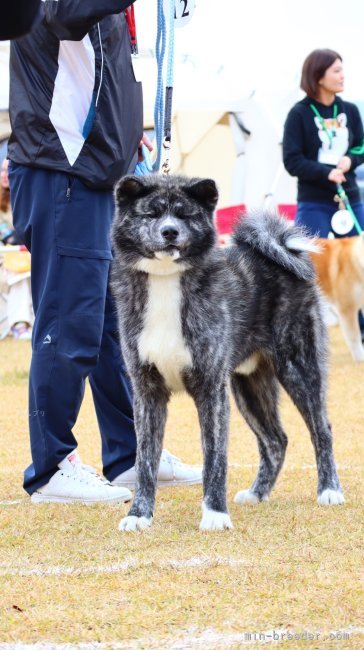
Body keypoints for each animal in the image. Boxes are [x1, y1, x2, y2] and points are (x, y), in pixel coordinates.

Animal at [111, 173, 344, 532]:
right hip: (249, 386)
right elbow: (145, 461)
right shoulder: (147, 392)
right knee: (276, 440)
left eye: (185, 215)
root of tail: (282, 250)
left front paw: (215, 514)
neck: (167, 282)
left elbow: (215, 459)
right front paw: (138, 515)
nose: (170, 232)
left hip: (299, 368)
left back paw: (329, 490)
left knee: (322, 430)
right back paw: (258, 492)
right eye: (151, 214)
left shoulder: (211, 391)